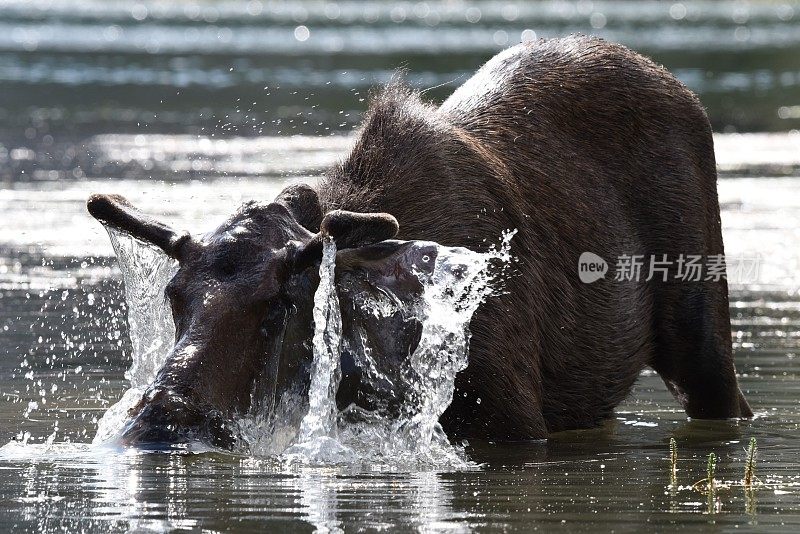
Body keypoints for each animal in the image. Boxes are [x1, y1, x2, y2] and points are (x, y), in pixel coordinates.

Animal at [87, 35, 752, 450]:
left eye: (282, 302)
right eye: (174, 297)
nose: (158, 425)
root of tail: (684, 92)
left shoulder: (513, 420)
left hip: (703, 329)